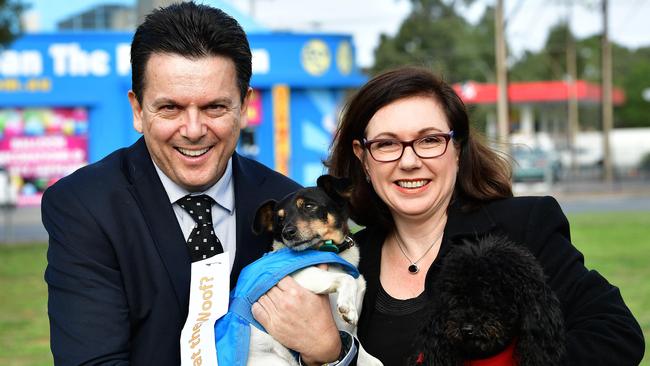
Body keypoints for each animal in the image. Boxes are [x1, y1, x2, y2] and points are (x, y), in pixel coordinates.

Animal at [247, 175, 380, 366]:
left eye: (309, 206)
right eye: (279, 219)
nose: (287, 232)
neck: (331, 252)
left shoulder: (348, 332)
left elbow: (373, 360)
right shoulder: (301, 276)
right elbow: (345, 278)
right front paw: (348, 306)